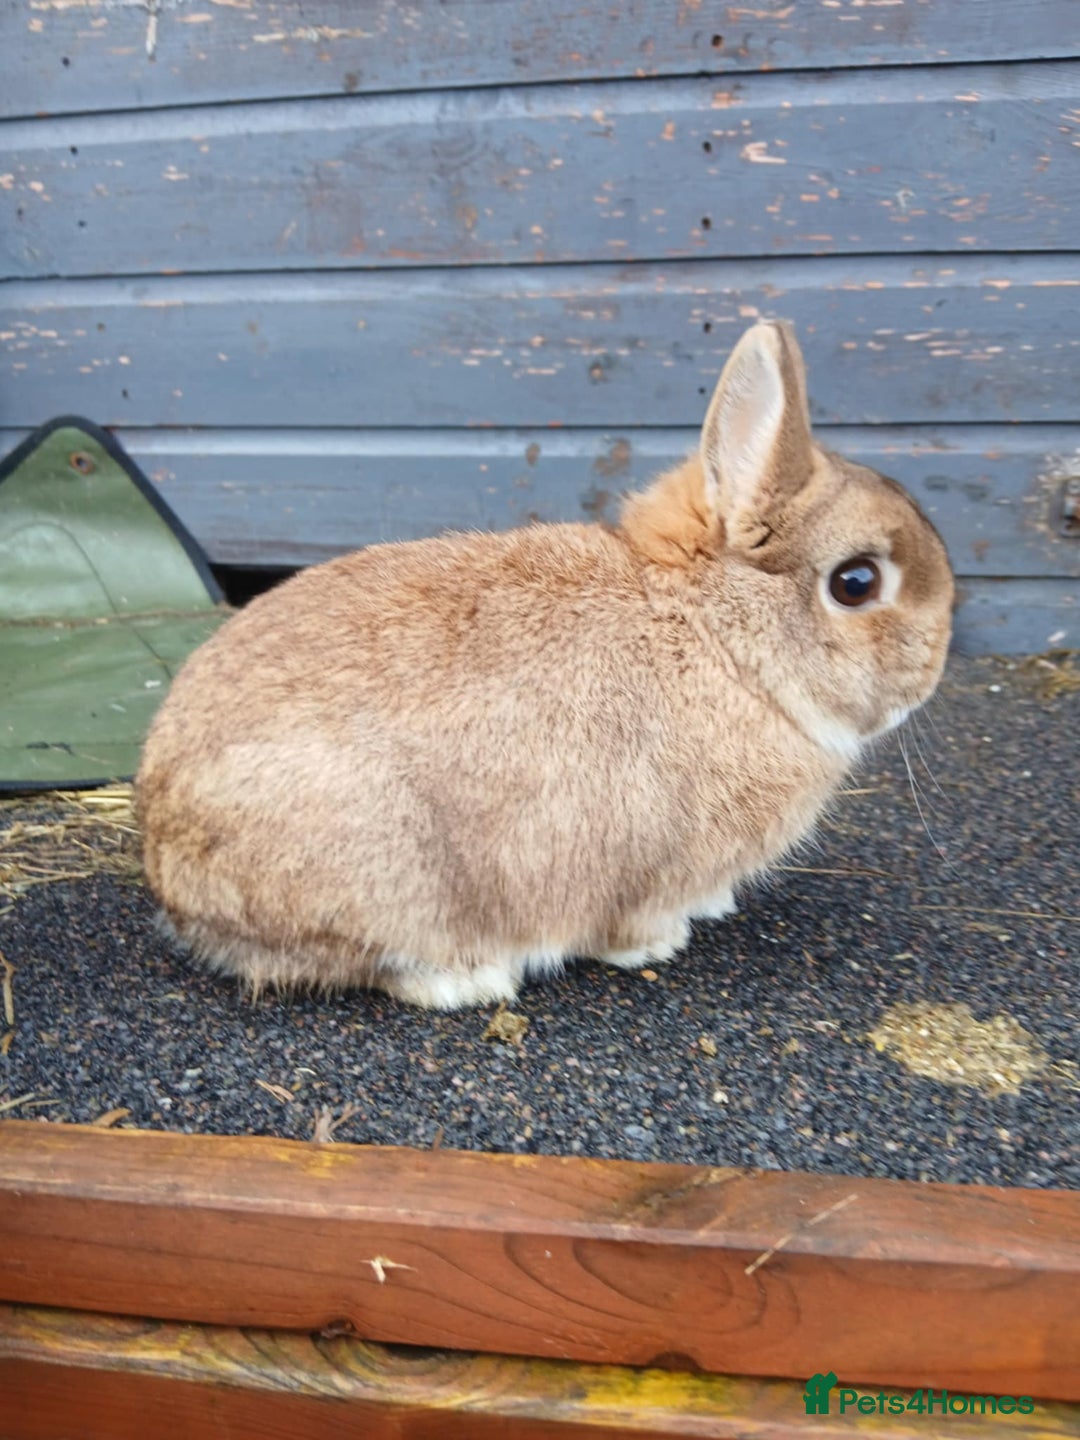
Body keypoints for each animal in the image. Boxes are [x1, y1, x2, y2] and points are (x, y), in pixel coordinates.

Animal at [136, 320, 954, 1010]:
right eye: (856, 583)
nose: (934, 669)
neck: (714, 635)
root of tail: (169, 864)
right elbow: (628, 920)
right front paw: (657, 944)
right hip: (389, 875)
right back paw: (471, 982)